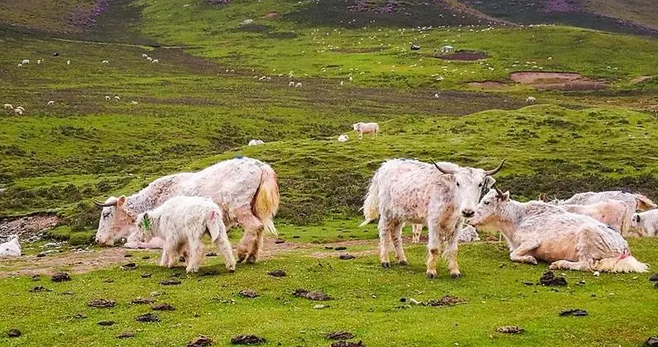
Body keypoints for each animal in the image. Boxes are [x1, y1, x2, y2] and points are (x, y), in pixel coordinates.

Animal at [472, 189, 644, 274]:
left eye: (486, 202)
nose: (470, 218)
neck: (518, 218)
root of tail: (623, 247)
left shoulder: (532, 241)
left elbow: (513, 255)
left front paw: (530, 259)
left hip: (586, 236)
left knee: (584, 265)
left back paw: (558, 264)